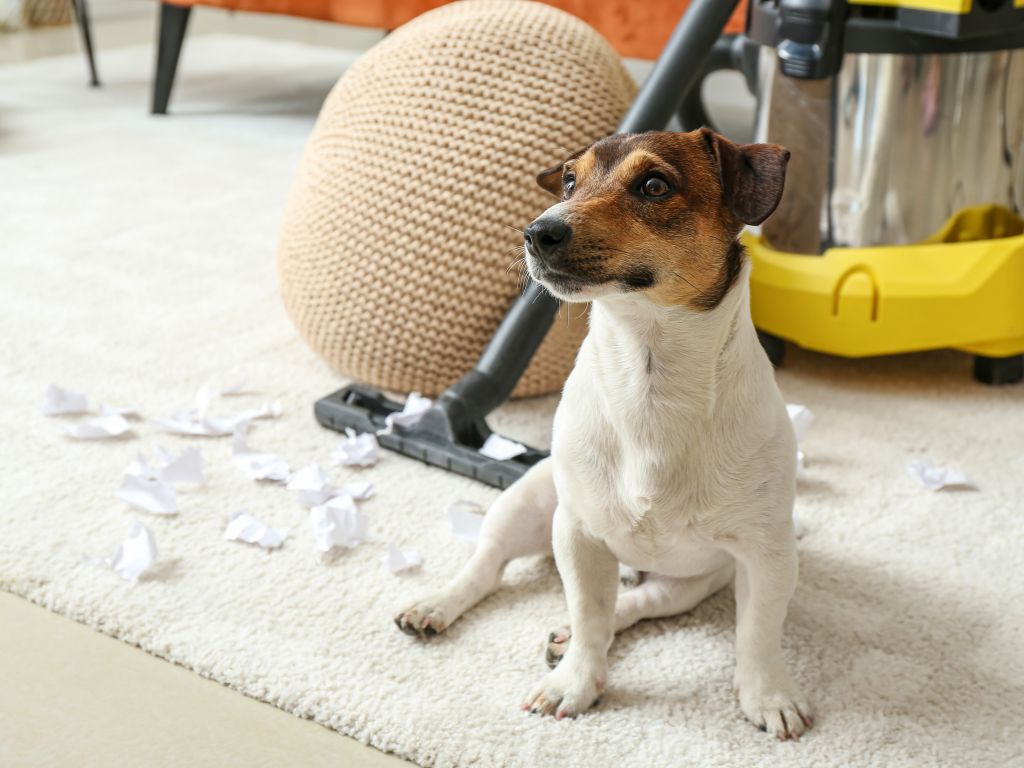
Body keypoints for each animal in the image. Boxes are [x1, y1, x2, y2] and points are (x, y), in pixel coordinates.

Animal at [395, 129, 811, 741]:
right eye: (570, 180)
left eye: (654, 185)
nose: (537, 231)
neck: (648, 373)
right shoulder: (578, 533)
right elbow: (588, 613)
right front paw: (574, 682)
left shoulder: (766, 555)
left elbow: (757, 633)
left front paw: (769, 695)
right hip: (530, 501)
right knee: (487, 565)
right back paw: (436, 605)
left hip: (693, 580)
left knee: (638, 600)